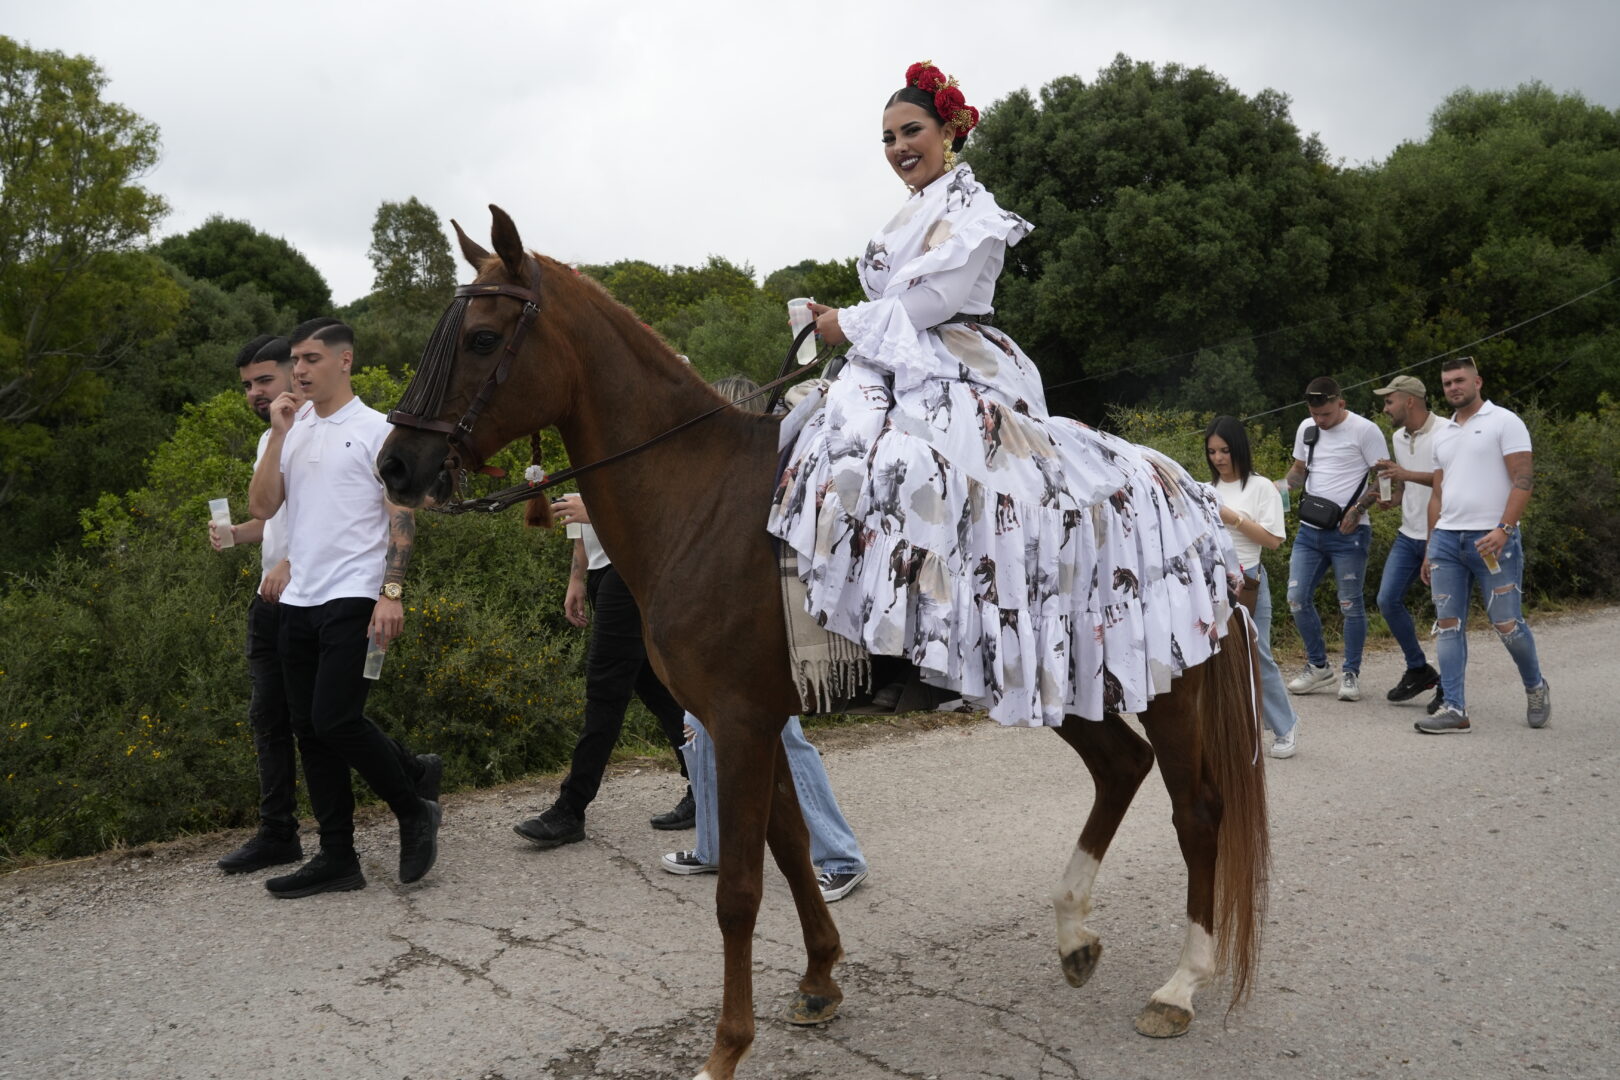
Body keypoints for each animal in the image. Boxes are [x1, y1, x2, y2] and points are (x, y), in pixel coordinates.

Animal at [377, 206, 1269, 1080]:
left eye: (482, 339)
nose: (396, 467)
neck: (699, 499)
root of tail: (1183, 485)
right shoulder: (753, 716)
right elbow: (791, 844)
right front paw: (818, 979)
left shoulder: (738, 720)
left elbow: (739, 889)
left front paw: (725, 1049)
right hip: (1066, 684)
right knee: (1121, 769)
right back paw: (1074, 934)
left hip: (1166, 684)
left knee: (1197, 811)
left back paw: (1179, 986)